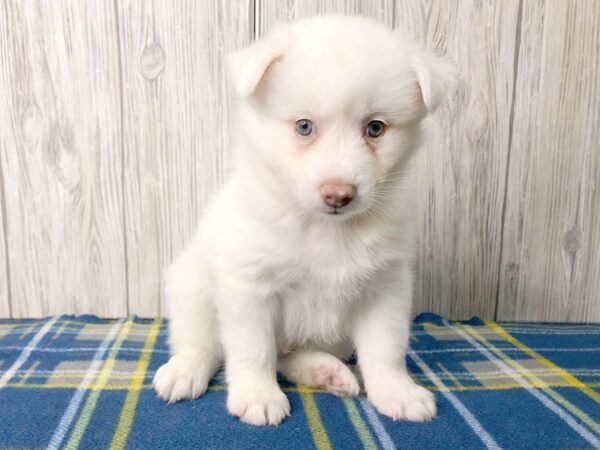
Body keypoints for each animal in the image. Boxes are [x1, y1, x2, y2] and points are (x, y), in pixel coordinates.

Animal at [154, 14, 454, 426]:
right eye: (304, 126)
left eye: (375, 128)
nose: (339, 195)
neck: (324, 228)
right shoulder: (249, 287)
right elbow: (252, 349)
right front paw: (258, 395)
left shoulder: (385, 287)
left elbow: (386, 349)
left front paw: (397, 392)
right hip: (192, 287)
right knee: (205, 343)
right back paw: (184, 370)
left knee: (287, 355)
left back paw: (327, 372)